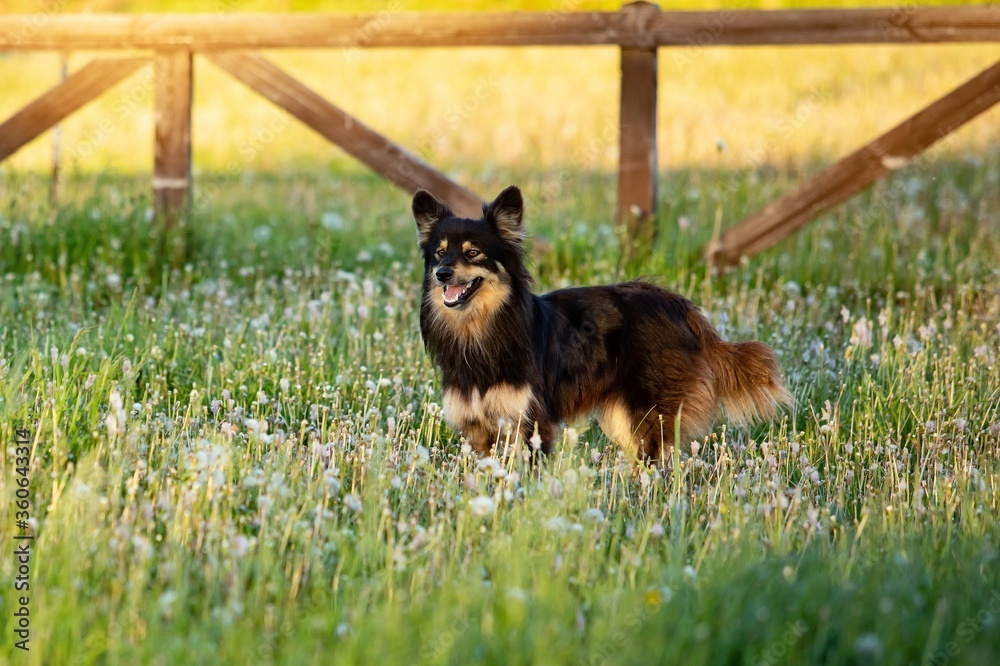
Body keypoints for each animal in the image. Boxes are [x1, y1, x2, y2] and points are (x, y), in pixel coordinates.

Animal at [410, 182, 792, 462]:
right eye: (440, 252)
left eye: (473, 252)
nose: (442, 273)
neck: (479, 330)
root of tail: (680, 305)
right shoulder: (476, 430)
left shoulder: (532, 422)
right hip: (622, 419)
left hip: (648, 413)